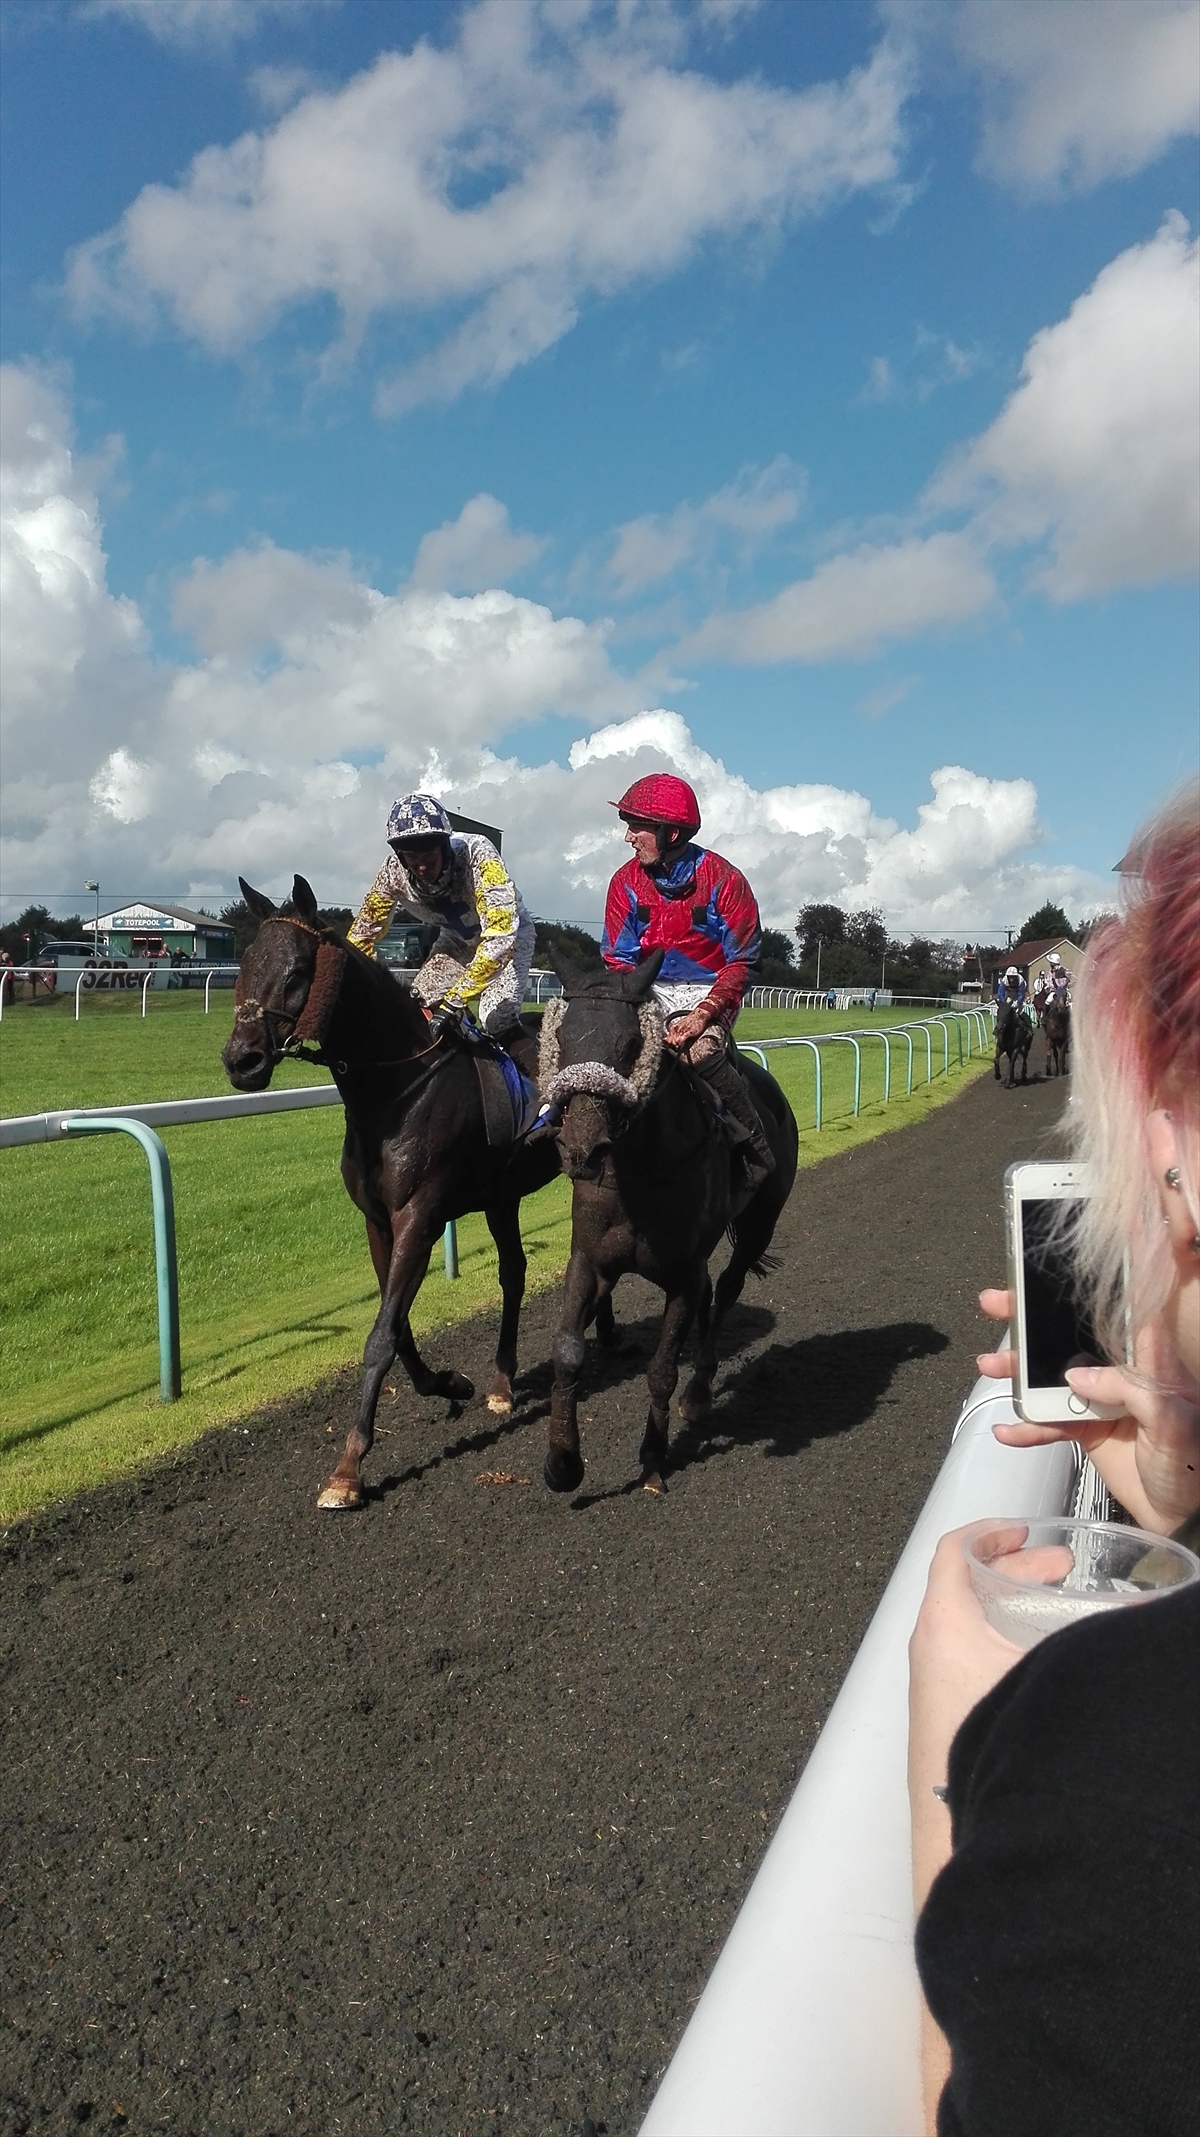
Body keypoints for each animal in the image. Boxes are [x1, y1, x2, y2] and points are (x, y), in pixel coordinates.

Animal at [221, 875, 560, 1511]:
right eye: (246, 962)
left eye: (298, 971)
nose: (241, 1059)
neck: (398, 1088)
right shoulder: (378, 1220)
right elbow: (396, 1327)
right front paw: (450, 1382)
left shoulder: (419, 1218)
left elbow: (380, 1336)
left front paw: (348, 1468)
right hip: (502, 1197)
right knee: (514, 1272)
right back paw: (503, 1383)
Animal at [539, 949, 799, 1495]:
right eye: (561, 1039)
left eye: (632, 1044)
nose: (580, 1149)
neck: (642, 1170)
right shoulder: (589, 1259)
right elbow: (568, 1351)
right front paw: (563, 1462)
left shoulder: (682, 1274)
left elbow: (661, 1370)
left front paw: (654, 1458)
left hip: (761, 1220)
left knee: (728, 1288)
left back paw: (701, 1388)